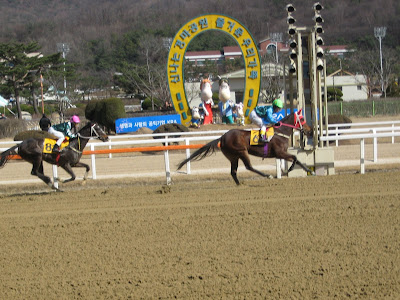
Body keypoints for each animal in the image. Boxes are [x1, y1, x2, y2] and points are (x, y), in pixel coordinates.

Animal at [178, 109, 316, 185]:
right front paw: (294, 169)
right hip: (242, 151)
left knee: (233, 172)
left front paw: (310, 171)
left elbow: (296, 158)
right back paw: (268, 176)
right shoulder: (280, 153)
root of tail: (222, 137)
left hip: (233, 156)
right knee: (249, 167)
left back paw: (240, 185)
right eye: (302, 119)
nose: (310, 131)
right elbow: (295, 157)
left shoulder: (281, 154)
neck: (281, 132)